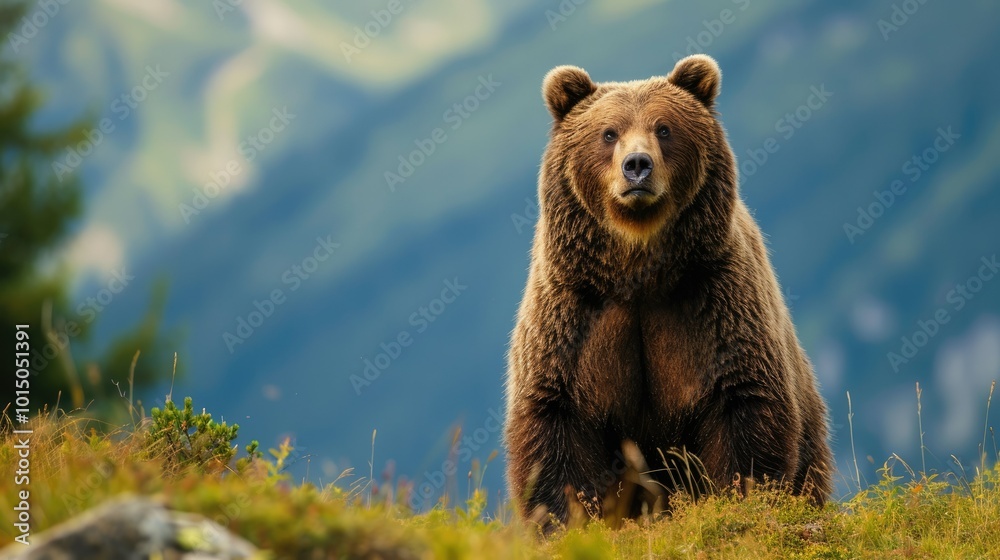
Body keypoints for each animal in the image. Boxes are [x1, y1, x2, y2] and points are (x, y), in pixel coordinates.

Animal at [503, 54, 832, 528]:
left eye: (664, 128)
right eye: (609, 133)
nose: (637, 165)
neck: (639, 270)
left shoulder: (715, 301)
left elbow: (742, 404)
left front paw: (741, 500)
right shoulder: (573, 314)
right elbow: (553, 419)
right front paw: (563, 519)